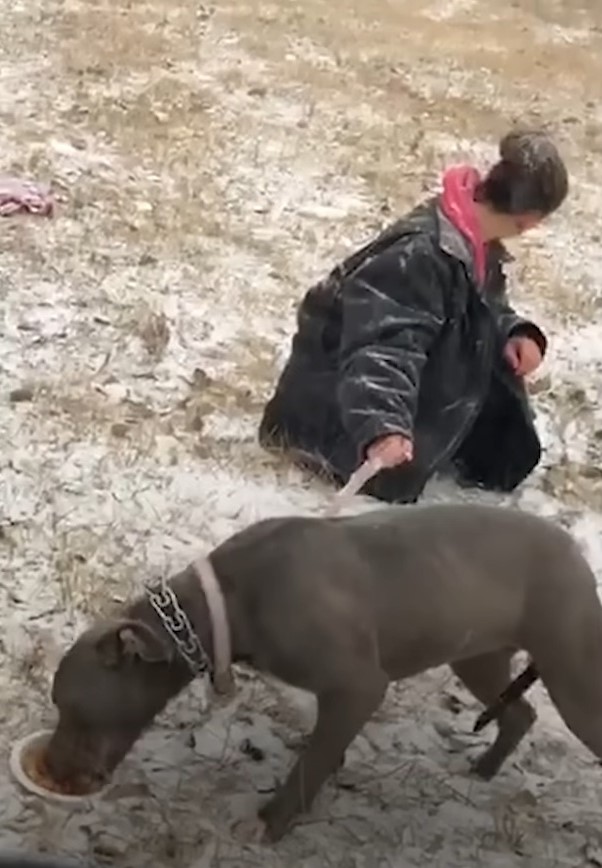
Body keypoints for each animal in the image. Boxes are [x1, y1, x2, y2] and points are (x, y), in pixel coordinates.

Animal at [45, 502, 600, 840]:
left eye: (72, 708)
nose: (50, 768)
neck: (224, 604)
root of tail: (576, 553)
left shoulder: (358, 686)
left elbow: (309, 763)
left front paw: (271, 821)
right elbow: (324, 749)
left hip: (573, 680)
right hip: (477, 658)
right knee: (521, 713)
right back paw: (484, 769)